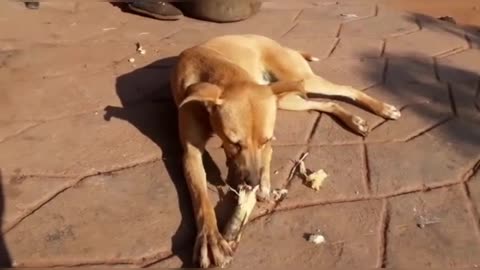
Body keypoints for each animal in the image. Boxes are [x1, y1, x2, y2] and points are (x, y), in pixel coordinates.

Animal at [171, 34, 400, 268]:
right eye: (234, 142)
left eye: (265, 140)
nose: (252, 181)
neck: (217, 69)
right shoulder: (190, 153)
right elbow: (200, 196)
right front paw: (211, 239)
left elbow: (265, 160)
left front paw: (261, 185)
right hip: (286, 97)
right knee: (327, 104)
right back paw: (354, 120)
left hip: (299, 81)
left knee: (346, 88)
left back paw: (382, 108)